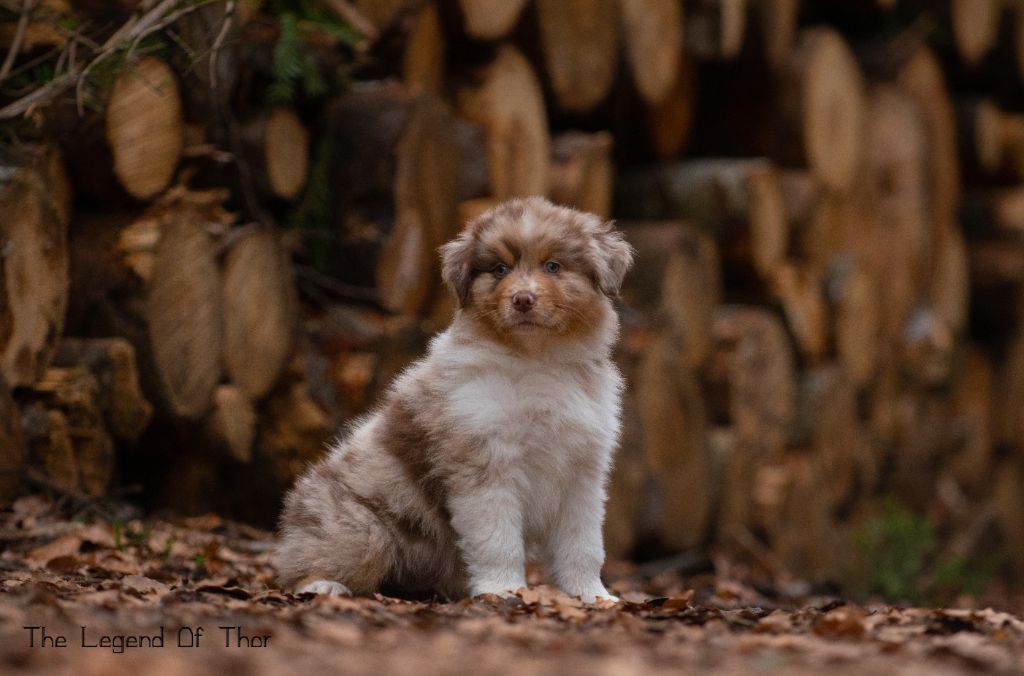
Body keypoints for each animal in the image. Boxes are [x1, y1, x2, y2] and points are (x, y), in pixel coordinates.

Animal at [275, 197, 634, 603]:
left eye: (553, 266)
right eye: (500, 269)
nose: (523, 299)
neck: (536, 359)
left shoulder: (583, 471)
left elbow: (584, 544)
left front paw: (593, 596)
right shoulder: (484, 462)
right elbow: (498, 539)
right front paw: (503, 590)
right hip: (361, 529)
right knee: (304, 562)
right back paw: (322, 584)